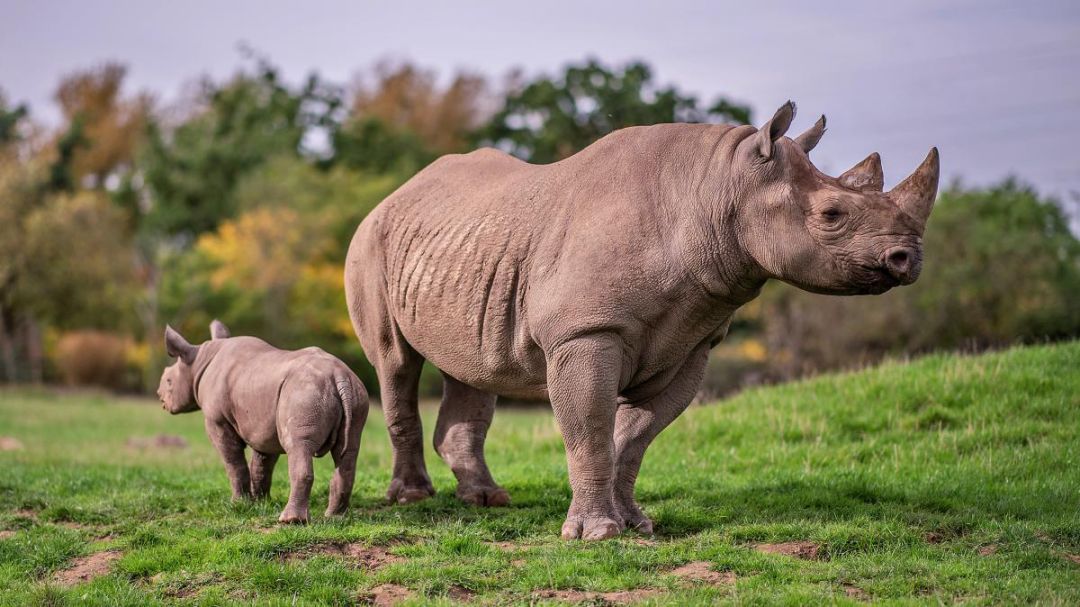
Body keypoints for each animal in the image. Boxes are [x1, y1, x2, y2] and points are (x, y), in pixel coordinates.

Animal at [155, 319, 367, 522]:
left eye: (168, 381)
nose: (159, 395)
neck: (199, 361)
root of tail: (339, 376)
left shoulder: (217, 419)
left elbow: (233, 461)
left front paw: (239, 503)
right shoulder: (265, 425)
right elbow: (262, 463)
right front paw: (261, 503)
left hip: (305, 393)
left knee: (298, 445)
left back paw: (290, 521)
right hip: (356, 395)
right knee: (348, 451)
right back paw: (334, 517)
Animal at [343, 100, 937, 537]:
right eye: (832, 216)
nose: (908, 260)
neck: (717, 188)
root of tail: (393, 194)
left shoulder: (692, 341)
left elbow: (632, 439)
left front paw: (637, 525)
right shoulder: (585, 331)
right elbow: (589, 431)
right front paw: (597, 534)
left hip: (467, 250)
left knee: (472, 367)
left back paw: (488, 500)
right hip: (370, 241)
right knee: (395, 362)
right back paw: (413, 499)